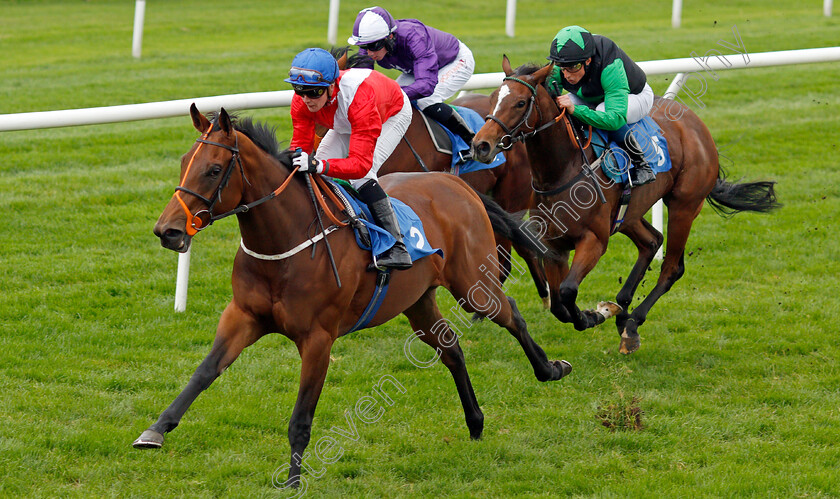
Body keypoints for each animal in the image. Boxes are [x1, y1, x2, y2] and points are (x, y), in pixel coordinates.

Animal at [135, 104, 572, 488]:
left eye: (212, 170)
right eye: (182, 163)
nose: (168, 231)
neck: (285, 242)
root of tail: (455, 182)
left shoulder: (318, 338)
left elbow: (301, 416)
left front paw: (292, 480)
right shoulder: (242, 316)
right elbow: (204, 372)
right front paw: (155, 430)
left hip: (471, 286)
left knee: (510, 313)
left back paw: (549, 369)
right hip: (417, 301)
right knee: (451, 347)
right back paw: (476, 422)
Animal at [472, 56, 780, 356]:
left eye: (521, 102)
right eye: (492, 98)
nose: (481, 145)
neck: (562, 171)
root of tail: (697, 125)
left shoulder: (594, 240)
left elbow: (569, 291)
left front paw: (593, 315)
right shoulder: (553, 246)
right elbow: (559, 304)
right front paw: (598, 312)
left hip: (684, 205)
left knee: (672, 267)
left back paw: (632, 324)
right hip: (629, 214)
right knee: (651, 242)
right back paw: (622, 310)